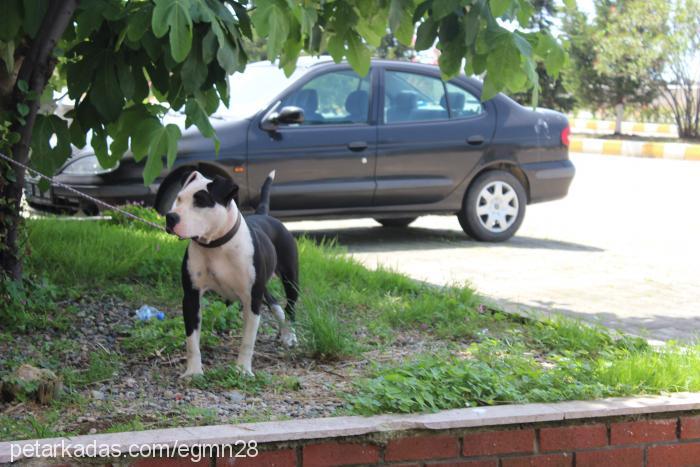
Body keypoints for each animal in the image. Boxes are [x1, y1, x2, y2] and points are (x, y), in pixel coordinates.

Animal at [166, 170, 298, 378]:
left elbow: (247, 341)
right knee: (276, 304)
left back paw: (290, 335)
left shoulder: (251, 300)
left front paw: (243, 370)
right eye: (179, 198)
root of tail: (263, 215)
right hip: (262, 288)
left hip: (290, 279)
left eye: (201, 201)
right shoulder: (191, 297)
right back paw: (284, 333)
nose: (170, 217)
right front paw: (194, 371)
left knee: (290, 306)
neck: (216, 245)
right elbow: (192, 340)